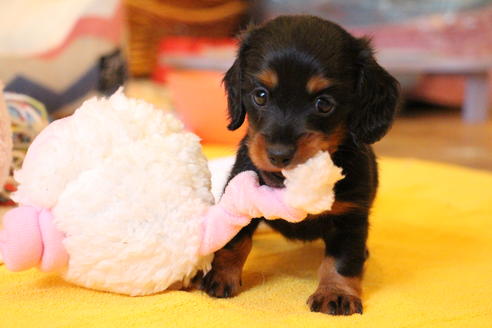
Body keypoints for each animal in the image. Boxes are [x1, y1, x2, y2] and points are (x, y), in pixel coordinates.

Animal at [198, 15, 398, 316]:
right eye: (260, 95)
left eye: (324, 104)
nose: (279, 155)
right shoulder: (239, 196)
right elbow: (236, 240)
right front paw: (220, 276)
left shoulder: (351, 217)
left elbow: (342, 260)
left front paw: (336, 293)